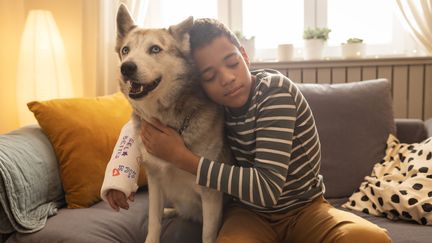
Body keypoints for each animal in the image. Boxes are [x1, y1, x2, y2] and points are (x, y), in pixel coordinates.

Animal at [114, 3, 230, 243]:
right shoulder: (155, 180)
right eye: (126, 50)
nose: (126, 67)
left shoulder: (211, 192)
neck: (168, 123)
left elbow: (208, 234)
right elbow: (153, 222)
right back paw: (169, 211)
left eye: (155, 49)